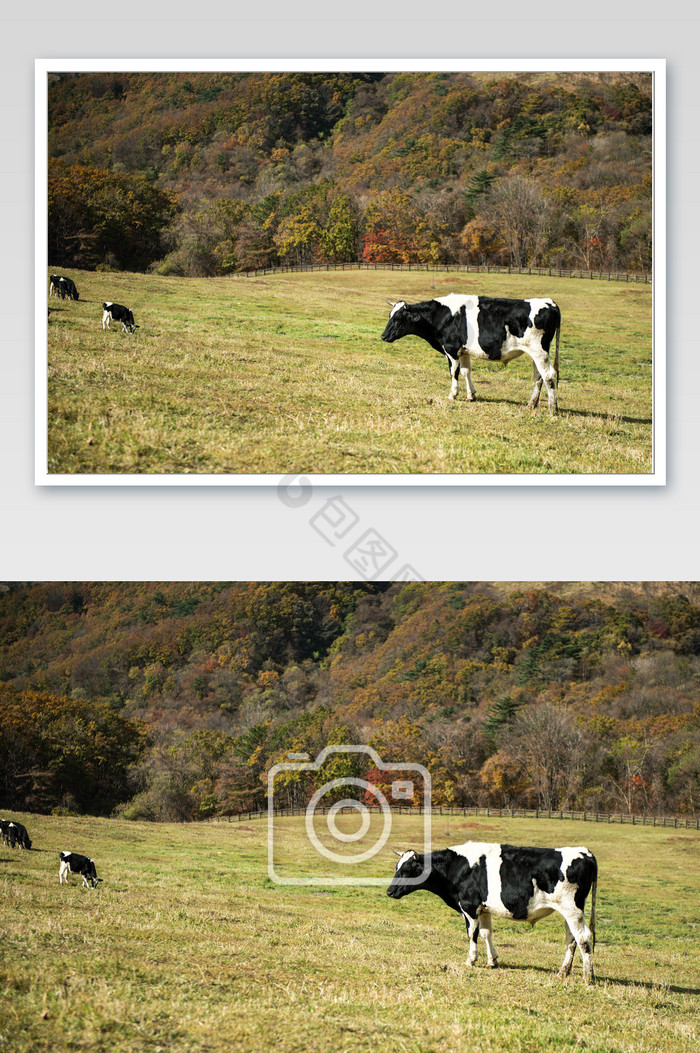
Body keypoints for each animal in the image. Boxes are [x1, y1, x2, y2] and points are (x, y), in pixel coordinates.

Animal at [378, 296, 560, 414]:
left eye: (398, 318)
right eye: (389, 316)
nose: (384, 336)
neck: (441, 316)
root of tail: (550, 302)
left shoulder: (451, 349)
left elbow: (454, 372)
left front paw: (453, 394)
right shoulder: (463, 350)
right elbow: (466, 371)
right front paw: (471, 395)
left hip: (539, 351)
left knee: (549, 375)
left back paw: (553, 409)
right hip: (537, 353)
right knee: (539, 377)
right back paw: (532, 404)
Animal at [387, 842, 593, 981]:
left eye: (407, 870)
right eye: (397, 868)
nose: (389, 891)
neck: (456, 867)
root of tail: (584, 852)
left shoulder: (469, 906)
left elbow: (472, 933)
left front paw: (471, 959)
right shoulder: (483, 909)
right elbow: (486, 933)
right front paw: (492, 960)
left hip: (572, 910)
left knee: (584, 938)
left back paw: (588, 975)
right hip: (569, 912)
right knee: (572, 939)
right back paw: (564, 970)